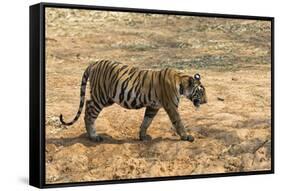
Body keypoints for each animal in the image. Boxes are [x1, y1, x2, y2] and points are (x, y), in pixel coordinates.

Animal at [59, 59, 206, 142]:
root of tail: (93, 63)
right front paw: (186, 137)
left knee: (88, 105)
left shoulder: (153, 106)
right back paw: (94, 137)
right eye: (201, 91)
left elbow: (146, 121)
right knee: (89, 111)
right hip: (101, 96)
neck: (181, 81)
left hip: (107, 98)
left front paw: (142, 136)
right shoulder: (171, 106)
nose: (206, 101)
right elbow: (178, 122)